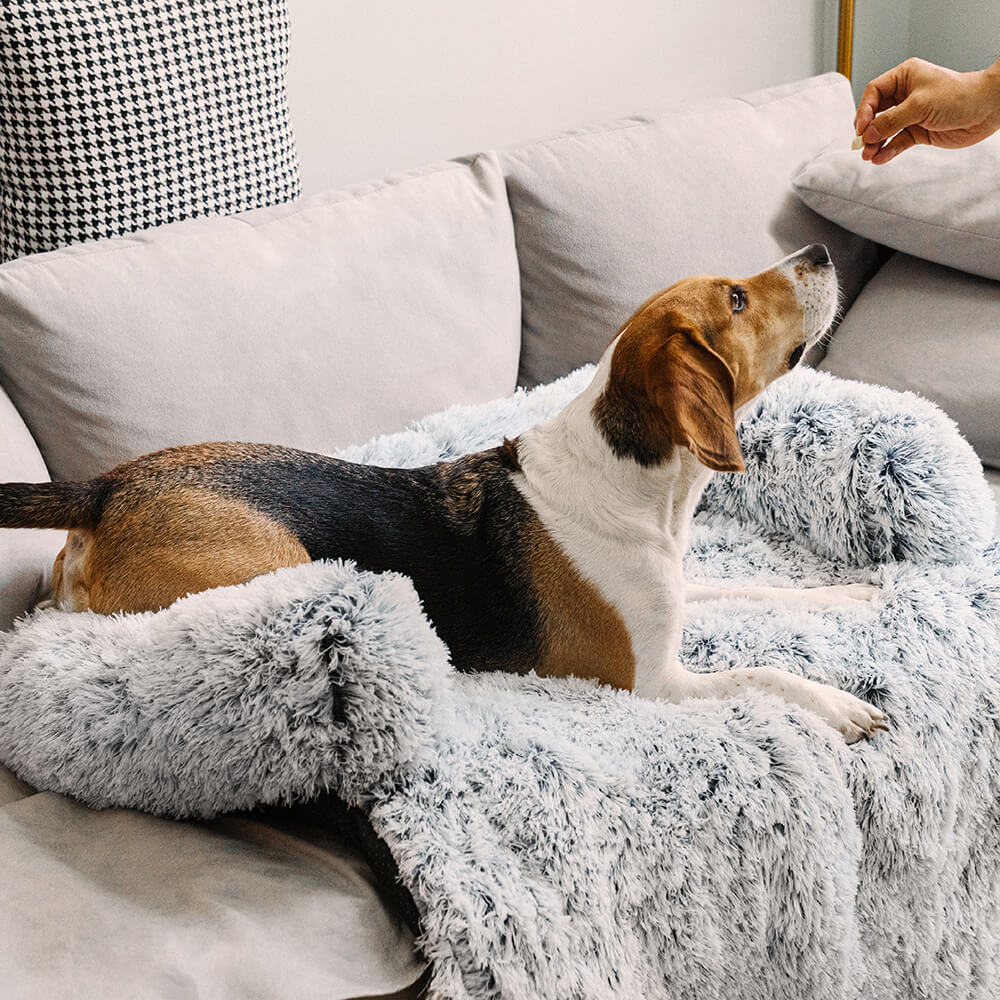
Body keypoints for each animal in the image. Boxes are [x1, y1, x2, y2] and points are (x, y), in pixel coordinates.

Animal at [0, 242, 892, 744]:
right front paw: (838, 705)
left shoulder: (675, 591)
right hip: (266, 563)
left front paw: (849, 596)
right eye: (736, 298)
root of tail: (108, 485)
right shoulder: (654, 683)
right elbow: (763, 673)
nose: (819, 251)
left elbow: (758, 589)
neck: (644, 486)